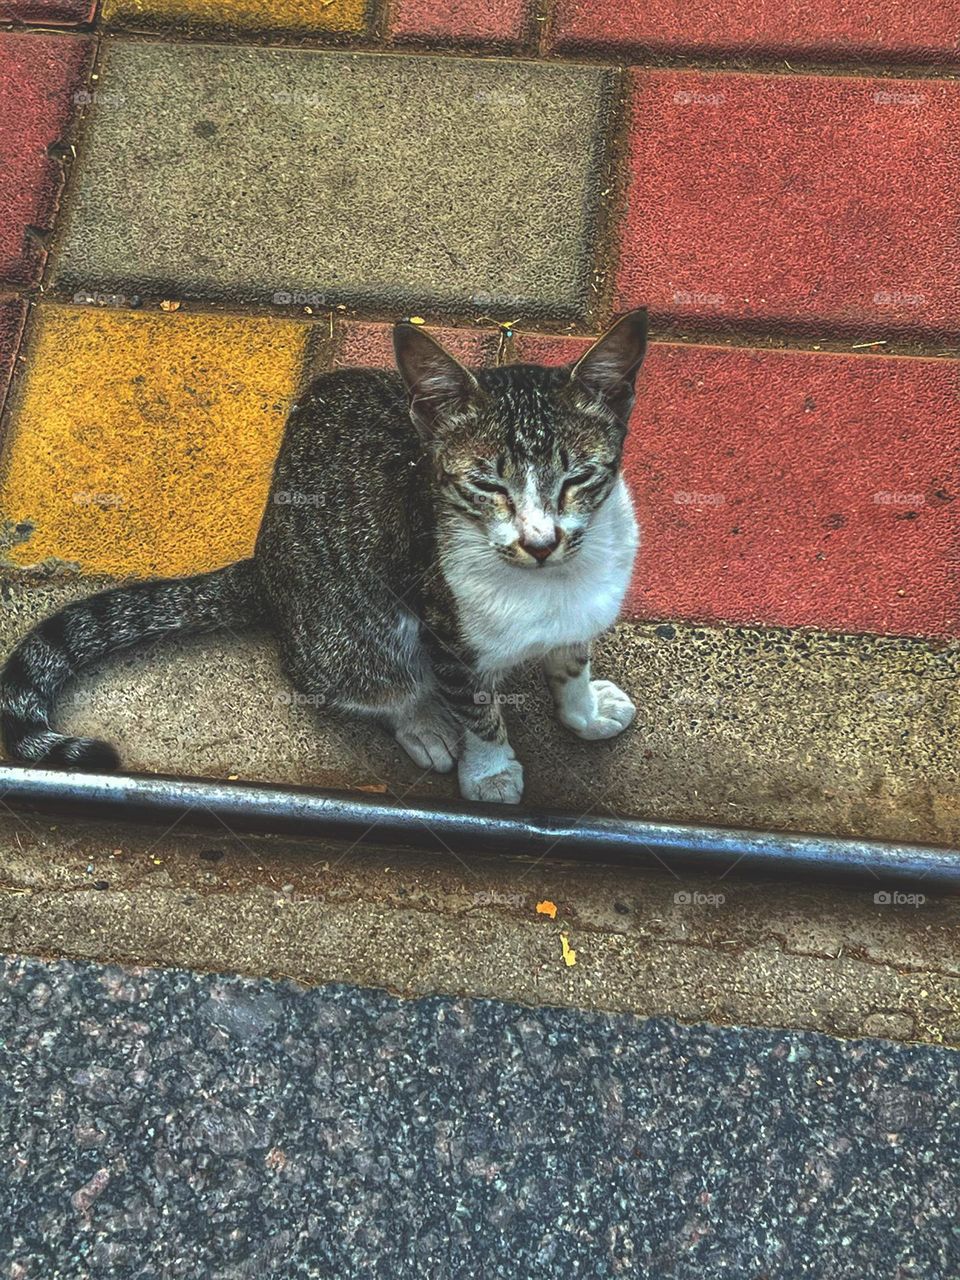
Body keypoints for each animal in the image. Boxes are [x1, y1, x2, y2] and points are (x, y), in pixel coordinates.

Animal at [0, 308, 650, 803]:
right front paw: (489, 769)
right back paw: (422, 722)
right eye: (486, 484)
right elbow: (478, 707)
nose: (540, 542)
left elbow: (570, 661)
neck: (552, 586)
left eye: (579, 477)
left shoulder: (581, 610)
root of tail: (264, 562)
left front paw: (583, 708)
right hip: (352, 629)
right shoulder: (443, 629)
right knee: (365, 675)